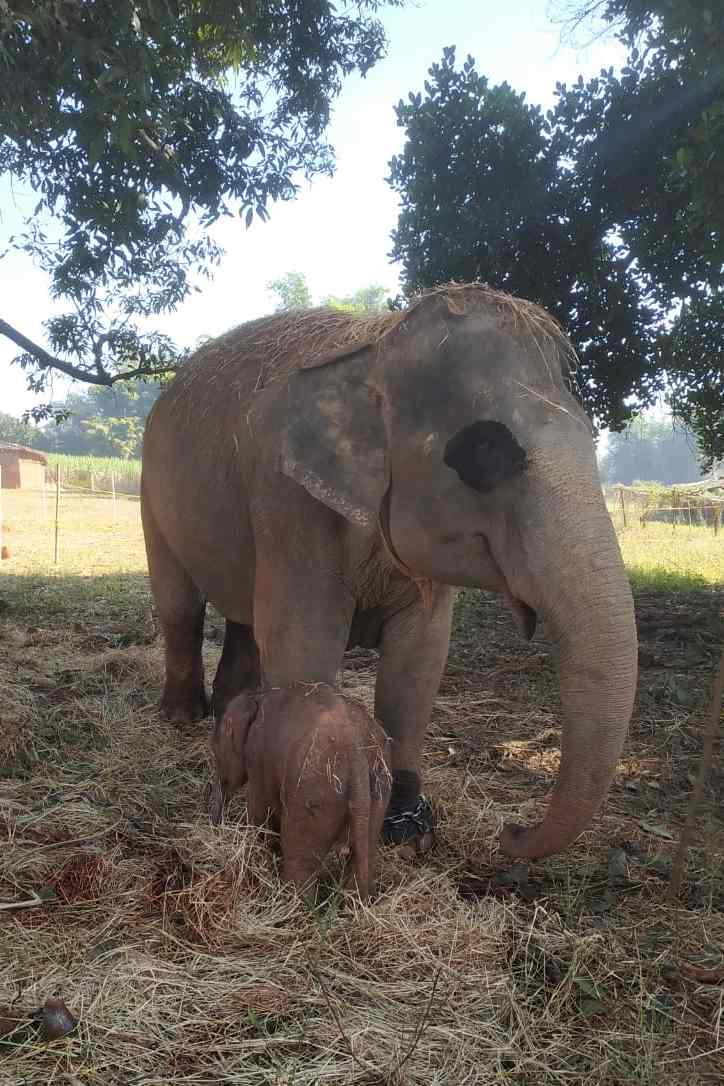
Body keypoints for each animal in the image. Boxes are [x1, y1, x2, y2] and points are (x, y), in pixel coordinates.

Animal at [140, 284, 633, 860]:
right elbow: (303, 640)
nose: (510, 831)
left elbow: (419, 659)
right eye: (484, 453)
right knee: (181, 607)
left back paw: (225, 713)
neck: (377, 345)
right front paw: (285, 825)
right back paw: (182, 717)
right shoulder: (287, 498)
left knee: (244, 623)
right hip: (152, 491)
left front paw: (408, 827)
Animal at [209, 686, 390, 899]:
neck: (257, 696)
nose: (215, 825)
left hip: (312, 795)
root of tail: (356, 755)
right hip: (379, 792)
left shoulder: (257, 759)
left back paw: (291, 900)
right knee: (364, 855)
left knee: (300, 862)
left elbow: (259, 810)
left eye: (215, 751)